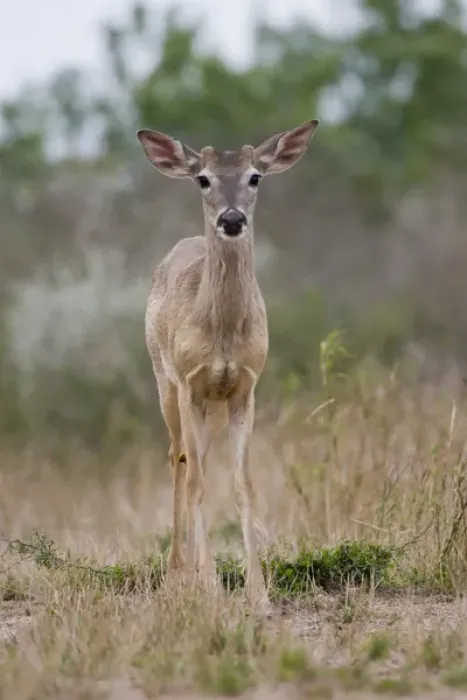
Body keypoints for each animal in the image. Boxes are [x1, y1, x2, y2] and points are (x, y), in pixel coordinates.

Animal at [136, 118, 319, 609]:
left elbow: (243, 484)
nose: (232, 219)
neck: (221, 335)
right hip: (164, 382)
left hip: (212, 408)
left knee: (197, 459)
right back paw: (178, 573)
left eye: (255, 176)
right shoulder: (188, 383)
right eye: (203, 178)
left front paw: (258, 593)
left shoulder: (244, 389)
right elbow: (196, 479)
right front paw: (211, 586)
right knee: (179, 458)